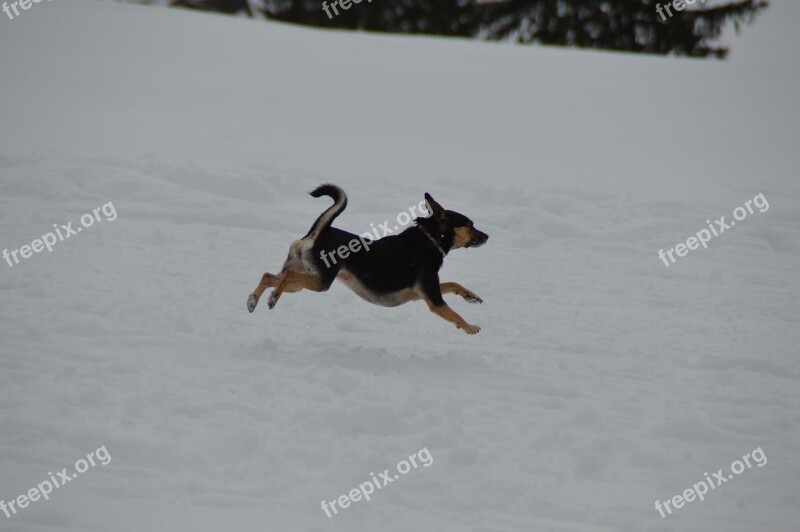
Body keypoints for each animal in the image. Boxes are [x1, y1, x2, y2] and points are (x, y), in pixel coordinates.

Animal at [245, 183, 488, 332]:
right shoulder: (433, 299)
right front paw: (470, 327)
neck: (429, 239)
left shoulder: (420, 293)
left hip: (304, 279)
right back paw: (272, 298)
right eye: (470, 224)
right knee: (287, 276)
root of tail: (318, 234)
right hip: (320, 281)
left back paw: (253, 300)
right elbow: (455, 315)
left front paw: (471, 296)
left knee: (270, 276)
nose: (487, 236)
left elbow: (453, 284)